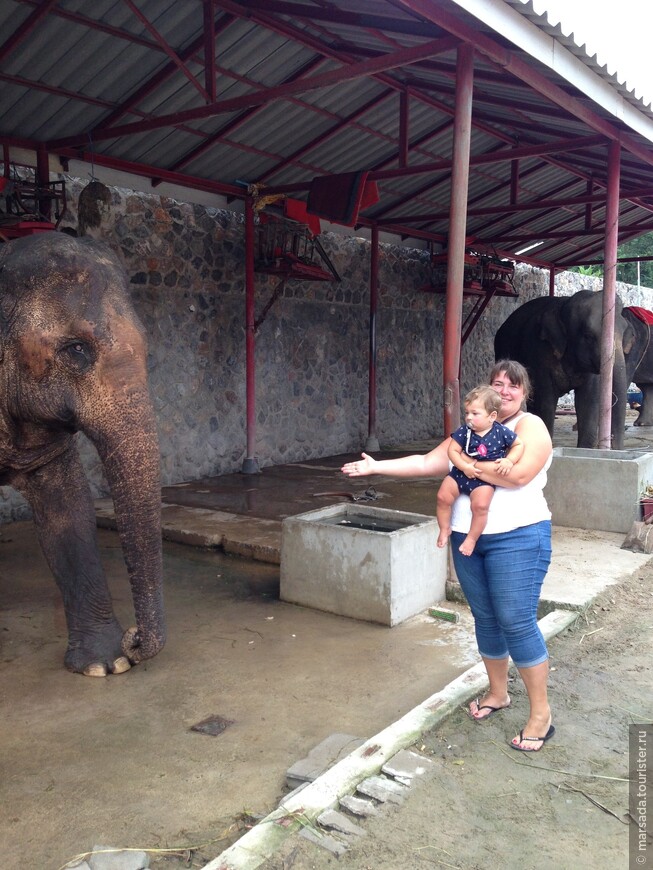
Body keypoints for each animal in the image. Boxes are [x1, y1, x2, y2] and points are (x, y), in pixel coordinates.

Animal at [494, 292, 632, 450]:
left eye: (624, 331)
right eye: (588, 336)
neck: (564, 305)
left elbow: (588, 401)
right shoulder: (538, 354)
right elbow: (546, 402)